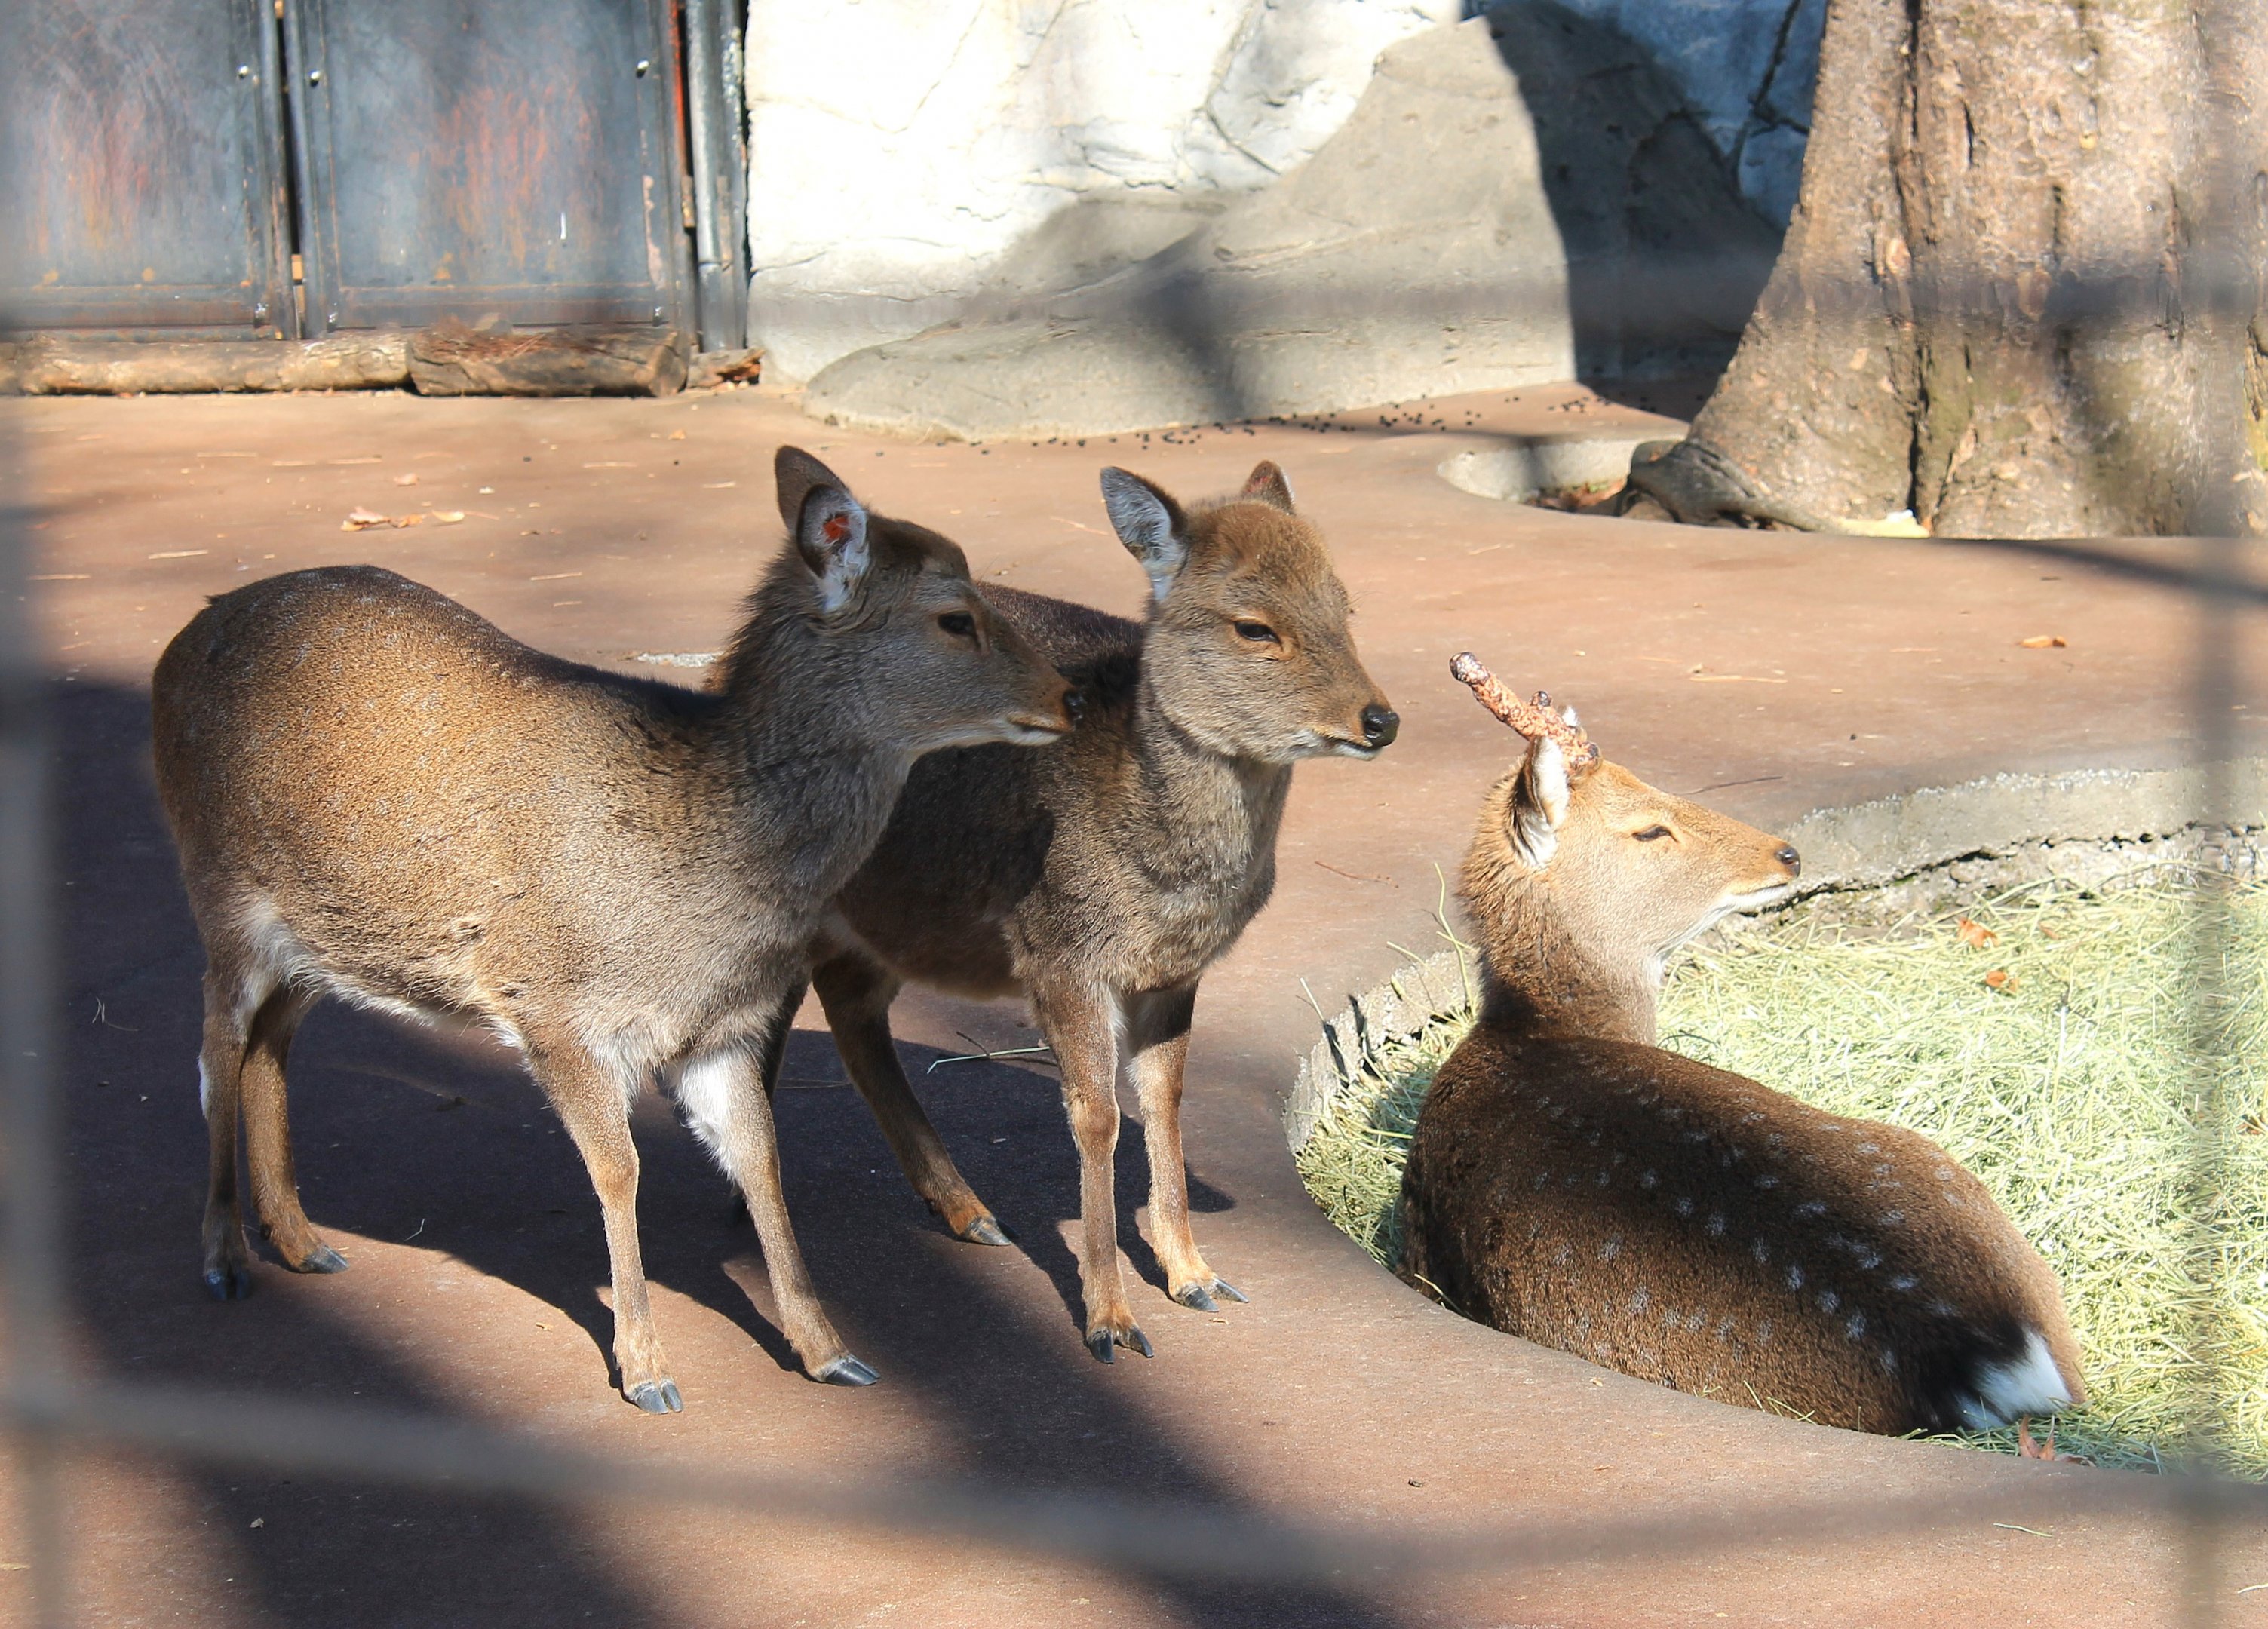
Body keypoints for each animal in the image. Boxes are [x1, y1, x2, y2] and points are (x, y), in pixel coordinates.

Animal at [150, 447, 1078, 1412]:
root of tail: (183, 640)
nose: (1072, 695)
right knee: (215, 1049)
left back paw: (301, 1241)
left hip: (319, 941)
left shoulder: (723, 1029)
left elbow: (761, 1160)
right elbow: (619, 1169)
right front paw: (646, 1370)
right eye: (955, 616)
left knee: (268, 1046)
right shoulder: (556, 1010)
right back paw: (224, 1258)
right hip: (219, 891)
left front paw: (830, 1352)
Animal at [809, 461, 1396, 1363]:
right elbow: (1095, 1117)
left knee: (850, 1010)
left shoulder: (1173, 974)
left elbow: (1164, 1100)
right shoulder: (1058, 951)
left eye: (1344, 607)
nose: (1380, 720)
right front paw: (1110, 1322)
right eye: (1254, 627)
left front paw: (1196, 1276)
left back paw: (970, 1213)